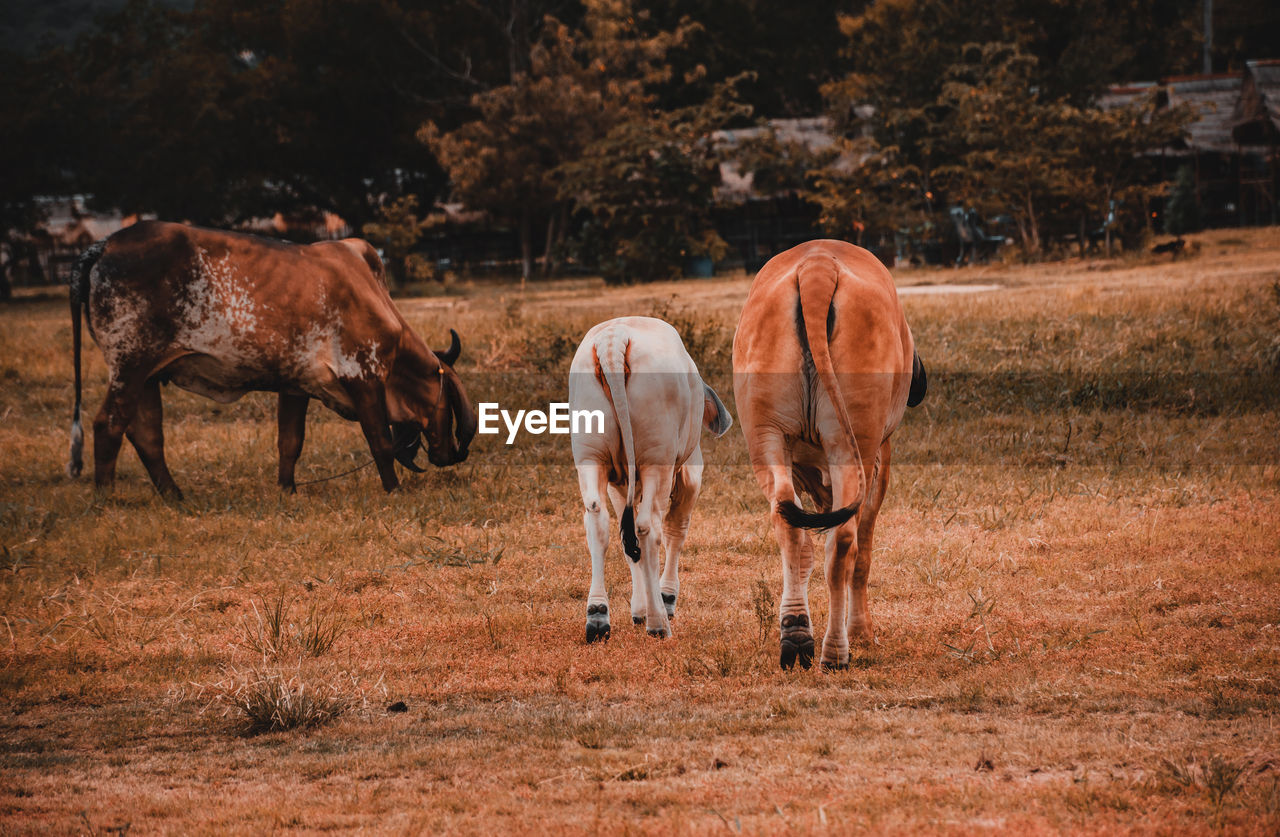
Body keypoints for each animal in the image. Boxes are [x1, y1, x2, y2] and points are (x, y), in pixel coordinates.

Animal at [66, 221, 476, 499]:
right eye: (448, 405)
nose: (451, 454)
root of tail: (104, 245)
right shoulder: (364, 375)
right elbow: (380, 441)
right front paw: (393, 490)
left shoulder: (296, 386)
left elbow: (290, 441)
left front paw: (287, 490)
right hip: (129, 366)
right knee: (108, 425)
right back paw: (106, 497)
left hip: (149, 374)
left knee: (147, 434)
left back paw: (175, 496)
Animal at [570, 316, 732, 642]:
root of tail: (613, 337)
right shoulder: (691, 472)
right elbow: (676, 531)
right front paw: (665, 599)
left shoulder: (619, 485)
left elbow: (627, 541)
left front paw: (640, 607)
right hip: (658, 460)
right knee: (647, 528)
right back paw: (658, 622)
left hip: (590, 456)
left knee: (599, 522)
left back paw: (598, 615)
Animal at [732, 239, 931, 670]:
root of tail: (817, 264)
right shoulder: (881, 458)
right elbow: (863, 550)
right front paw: (862, 630)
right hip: (852, 442)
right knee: (844, 542)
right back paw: (837, 650)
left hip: (766, 436)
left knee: (787, 520)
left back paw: (796, 634)